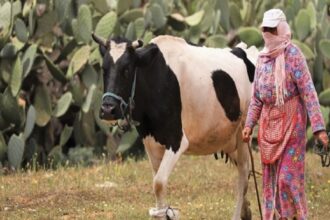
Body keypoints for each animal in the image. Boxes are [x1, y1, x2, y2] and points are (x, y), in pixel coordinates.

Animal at [91, 33, 260, 220]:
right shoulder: (150, 142)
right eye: (104, 69)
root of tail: (243, 49)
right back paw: (246, 210)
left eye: (126, 70)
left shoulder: (177, 140)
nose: (108, 109)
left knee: (243, 172)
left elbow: (158, 183)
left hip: (243, 131)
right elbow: (158, 184)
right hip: (228, 138)